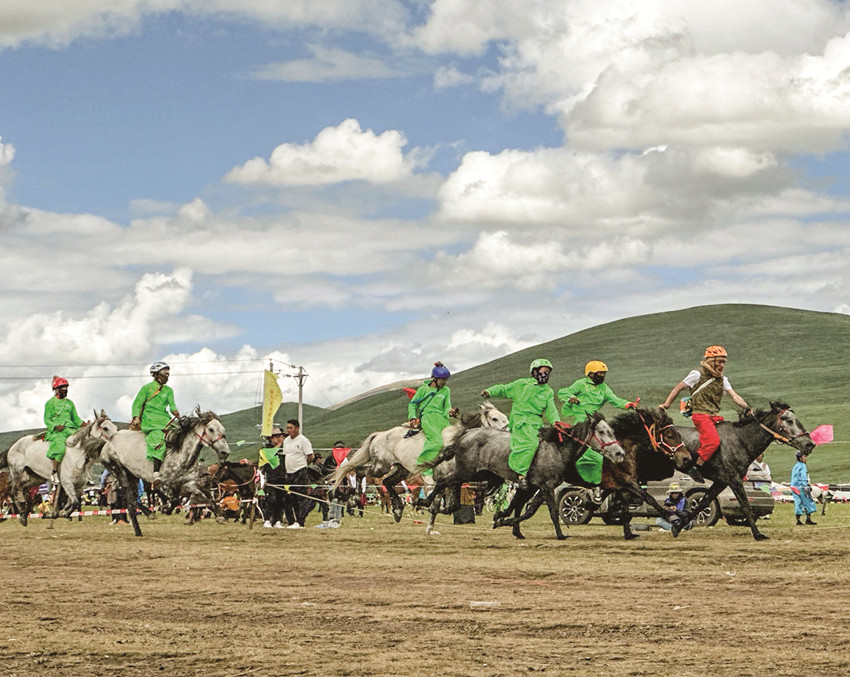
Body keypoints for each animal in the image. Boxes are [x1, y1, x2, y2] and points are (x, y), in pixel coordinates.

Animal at [99, 408, 231, 537]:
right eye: (211, 429)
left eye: (223, 429)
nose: (225, 452)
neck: (180, 456)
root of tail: (108, 442)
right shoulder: (164, 486)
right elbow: (175, 500)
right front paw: (166, 509)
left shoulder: (189, 483)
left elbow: (206, 495)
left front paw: (220, 516)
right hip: (119, 471)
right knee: (128, 498)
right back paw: (142, 523)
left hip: (133, 476)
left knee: (130, 496)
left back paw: (144, 520)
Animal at [326, 402, 508, 522]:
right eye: (494, 418)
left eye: (505, 417)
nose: (509, 431)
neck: (457, 441)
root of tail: (380, 434)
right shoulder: (444, 477)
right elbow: (437, 498)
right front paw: (425, 506)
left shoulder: (456, 479)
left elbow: (452, 506)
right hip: (380, 466)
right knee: (360, 472)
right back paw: (354, 501)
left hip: (402, 469)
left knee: (387, 482)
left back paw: (398, 510)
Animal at [424, 413, 626, 540]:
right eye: (601, 431)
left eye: (612, 431)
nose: (619, 453)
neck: (557, 449)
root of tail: (466, 433)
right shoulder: (546, 486)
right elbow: (551, 512)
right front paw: (560, 535)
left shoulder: (536, 487)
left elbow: (525, 510)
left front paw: (506, 522)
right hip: (467, 471)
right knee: (443, 482)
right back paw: (425, 503)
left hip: (479, 474)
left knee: (453, 488)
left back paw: (443, 508)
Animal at [497, 407, 690, 540]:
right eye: (670, 435)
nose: (686, 458)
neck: (624, 450)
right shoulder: (627, 482)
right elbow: (649, 499)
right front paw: (674, 520)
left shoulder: (621, 487)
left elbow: (625, 511)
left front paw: (629, 534)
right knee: (523, 504)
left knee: (522, 503)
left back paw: (513, 528)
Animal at [672, 401, 815, 540]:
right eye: (789, 420)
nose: (810, 444)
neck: (741, 440)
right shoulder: (734, 479)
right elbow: (746, 505)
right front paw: (758, 534)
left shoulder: (721, 482)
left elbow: (703, 503)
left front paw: (677, 528)